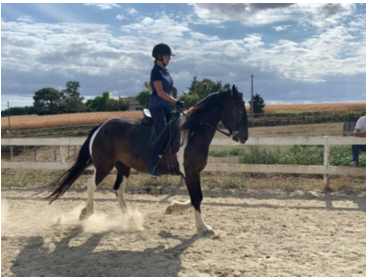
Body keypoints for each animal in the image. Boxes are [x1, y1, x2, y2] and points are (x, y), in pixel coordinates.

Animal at [46, 84, 247, 237]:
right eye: (239, 108)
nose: (244, 137)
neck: (191, 132)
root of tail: (101, 126)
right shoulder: (189, 171)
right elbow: (197, 197)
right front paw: (203, 228)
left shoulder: (192, 172)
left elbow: (197, 197)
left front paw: (173, 208)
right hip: (104, 166)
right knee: (91, 185)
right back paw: (87, 214)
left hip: (123, 166)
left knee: (118, 189)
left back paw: (130, 220)